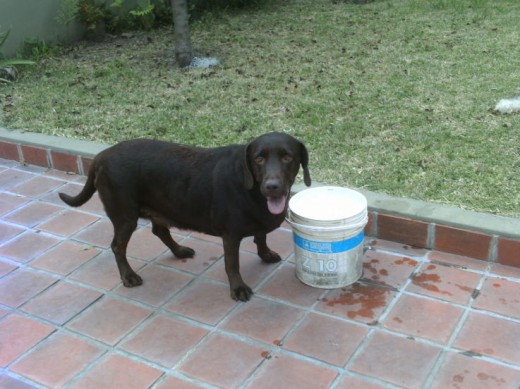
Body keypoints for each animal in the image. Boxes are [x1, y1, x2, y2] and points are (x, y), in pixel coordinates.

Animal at [61, 133, 312, 300]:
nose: (272, 186)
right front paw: (238, 288)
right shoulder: (230, 235)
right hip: (125, 216)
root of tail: (101, 155)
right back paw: (128, 276)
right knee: (117, 246)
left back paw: (179, 250)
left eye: (287, 157)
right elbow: (232, 264)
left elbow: (261, 237)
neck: (252, 190)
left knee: (159, 230)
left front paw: (265, 253)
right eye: (259, 159)